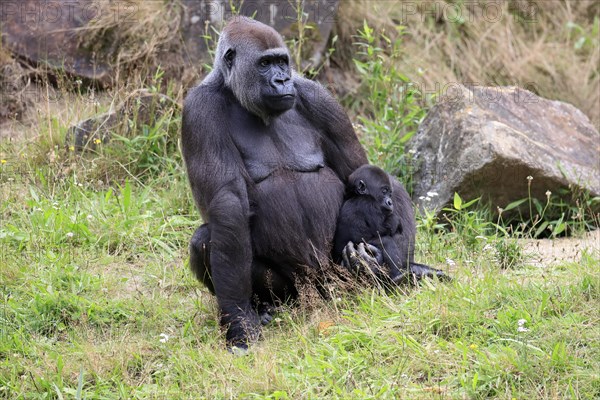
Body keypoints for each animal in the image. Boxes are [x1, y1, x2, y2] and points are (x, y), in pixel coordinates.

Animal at [180, 17, 438, 346]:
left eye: (282, 61)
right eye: (264, 64)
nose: (282, 80)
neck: (234, 92)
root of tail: (323, 295)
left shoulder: (318, 98)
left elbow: (360, 171)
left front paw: (379, 258)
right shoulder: (199, 111)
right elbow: (229, 205)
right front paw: (238, 318)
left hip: (337, 280)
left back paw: (389, 273)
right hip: (300, 293)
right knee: (206, 238)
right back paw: (263, 308)